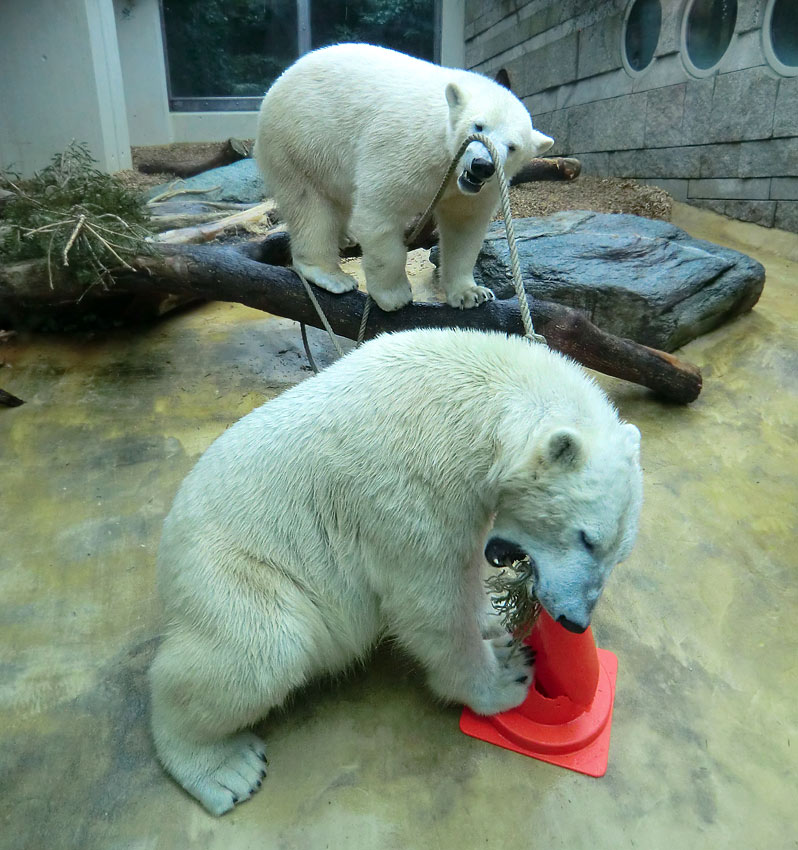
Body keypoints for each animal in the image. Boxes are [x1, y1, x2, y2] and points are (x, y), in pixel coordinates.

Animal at [150, 328, 644, 812]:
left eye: (618, 553)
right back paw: (224, 769)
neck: (476, 406)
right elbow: (430, 603)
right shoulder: (410, 488)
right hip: (232, 570)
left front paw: (494, 623)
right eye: (586, 538)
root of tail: (167, 556)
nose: (575, 621)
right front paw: (506, 675)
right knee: (260, 649)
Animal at [256, 43, 556, 312]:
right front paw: (394, 296)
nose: (482, 165)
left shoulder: (474, 190)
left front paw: (471, 293)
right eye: (478, 126)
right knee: (309, 204)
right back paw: (330, 275)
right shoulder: (404, 149)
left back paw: (345, 238)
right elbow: (380, 214)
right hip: (300, 140)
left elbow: (464, 228)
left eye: (512, 146)